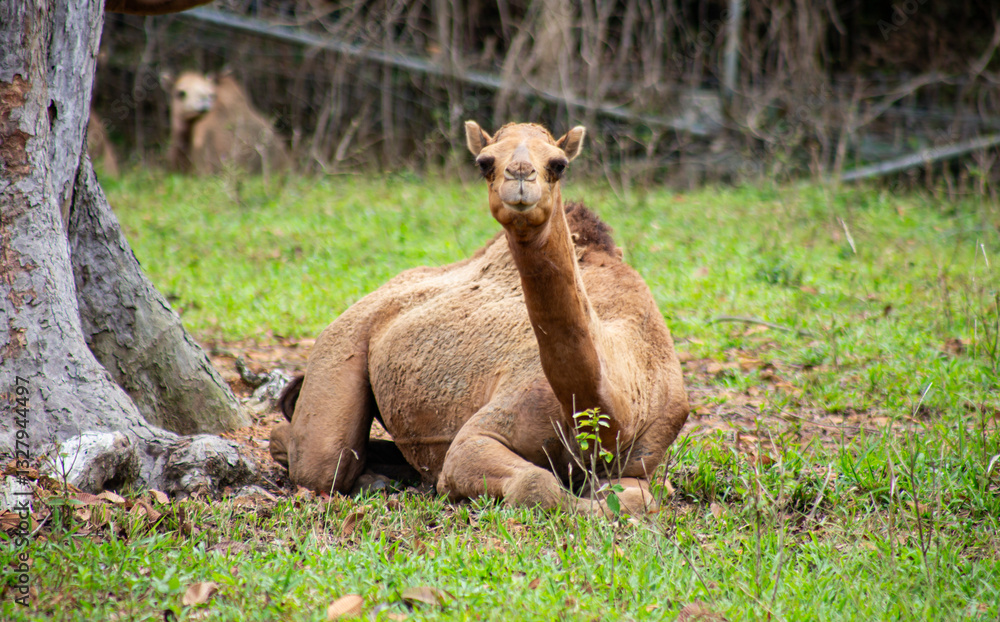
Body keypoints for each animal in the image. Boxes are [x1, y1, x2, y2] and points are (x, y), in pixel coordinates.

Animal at [270, 121, 689, 513]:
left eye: (559, 164)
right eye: (485, 162)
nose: (519, 174)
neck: (622, 405)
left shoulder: (644, 456)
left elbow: (643, 496)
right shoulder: (482, 434)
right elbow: (535, 483)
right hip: (341, 342)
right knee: (324, 460)